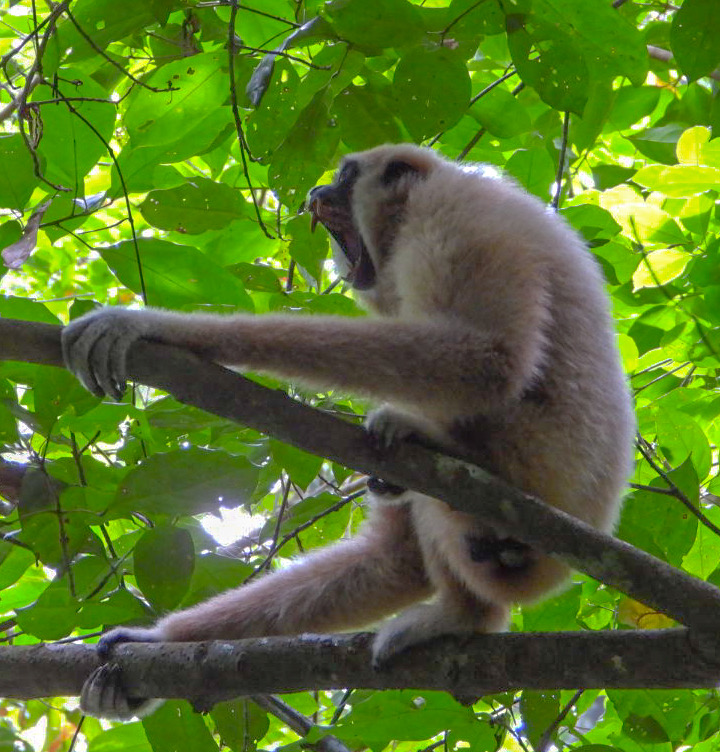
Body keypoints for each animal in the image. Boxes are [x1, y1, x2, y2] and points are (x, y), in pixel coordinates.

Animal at [63, 143, 635, 719]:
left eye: (345, 176)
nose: (316, 191)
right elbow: (395, 560)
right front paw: (155, 646)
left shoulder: (453, 213)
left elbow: (489, 358)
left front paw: (159, 327)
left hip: (534, 461)